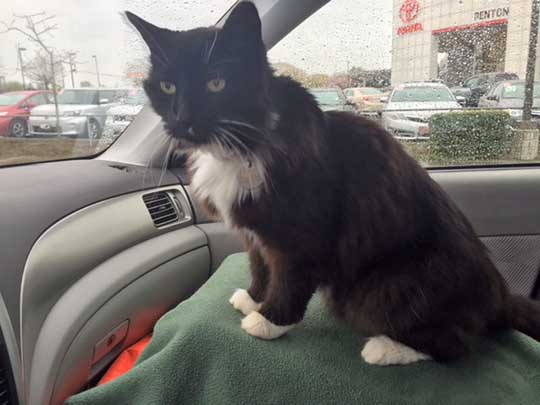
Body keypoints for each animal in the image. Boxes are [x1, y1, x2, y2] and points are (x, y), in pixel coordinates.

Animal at [126, 0, 540, 366]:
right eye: (167, 87)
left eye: (216, 83)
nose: (182, 120)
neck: (247, 140)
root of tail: (500, 295)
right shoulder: (255, 234)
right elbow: (260, 266)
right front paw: (255, 298)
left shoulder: (303, 235)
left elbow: (289, 278)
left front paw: (269, 319)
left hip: (393, 286)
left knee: (454, 344)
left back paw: (386, 348)